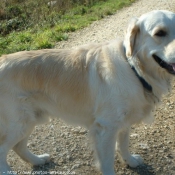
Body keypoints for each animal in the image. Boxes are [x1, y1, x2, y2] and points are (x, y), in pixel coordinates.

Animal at [0, 9, 175, 175]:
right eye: (160, 33)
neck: (134, 69)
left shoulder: (124, 121)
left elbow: (123, 144)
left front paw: (130, 161)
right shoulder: (106, 127)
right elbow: (107, 162)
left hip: (30, 120)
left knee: (18, 146)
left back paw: (37, 160)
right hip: (18, 122)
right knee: (3, 150)